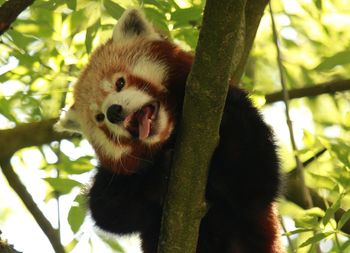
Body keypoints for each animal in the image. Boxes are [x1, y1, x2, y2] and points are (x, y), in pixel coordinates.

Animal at [55, 7, 284, 253]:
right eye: (99, 118)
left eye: (120, 83)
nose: (113, 112)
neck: (171, 131)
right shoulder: (114, 177)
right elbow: (109, 212)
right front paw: (159, 172)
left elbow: (255, 181)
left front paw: (227, 117)